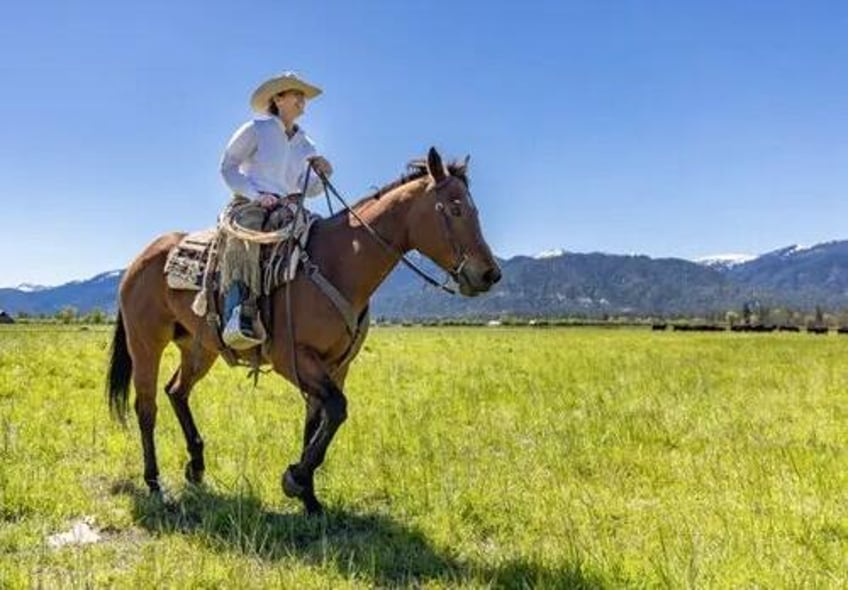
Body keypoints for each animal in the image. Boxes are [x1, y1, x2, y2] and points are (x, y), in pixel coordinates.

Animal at [107, 149, 504, 520]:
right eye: (454, 209)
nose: (490, 274)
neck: (339, 263)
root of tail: (138, 261)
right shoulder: (292, 358)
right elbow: (337, 409)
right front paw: (295, 479)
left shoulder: (336, 366)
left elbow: (319, 420)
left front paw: (309, 498)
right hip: (146, 343)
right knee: (146, 407)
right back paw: (154, 481)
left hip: (199, 347)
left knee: (177, 391)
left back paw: (196, 467)